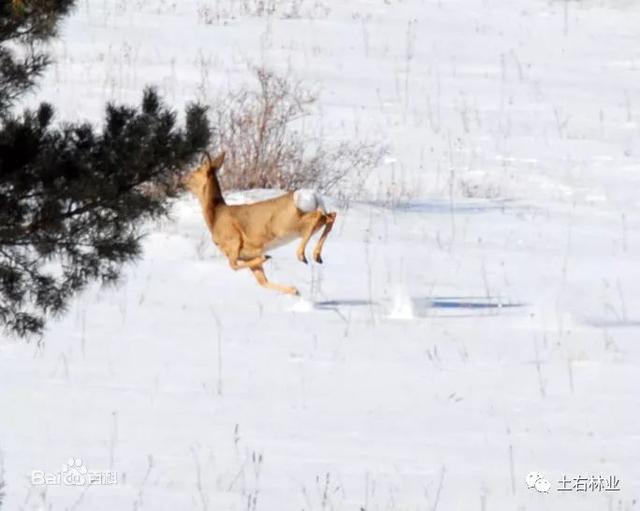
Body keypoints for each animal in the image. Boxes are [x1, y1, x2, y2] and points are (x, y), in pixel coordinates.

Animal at [184, 152, 338, 296]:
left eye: (196, 171)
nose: (183, 180)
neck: (216, 215)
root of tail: (311, 195)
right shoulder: (247, 255)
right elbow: (263, 282)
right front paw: (294, 290)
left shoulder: (233, 242)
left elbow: (233, 266)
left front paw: (266, 257)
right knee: (331, 216)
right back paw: (317, 257)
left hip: (287, 225)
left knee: (319, 217)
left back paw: (302, 255)